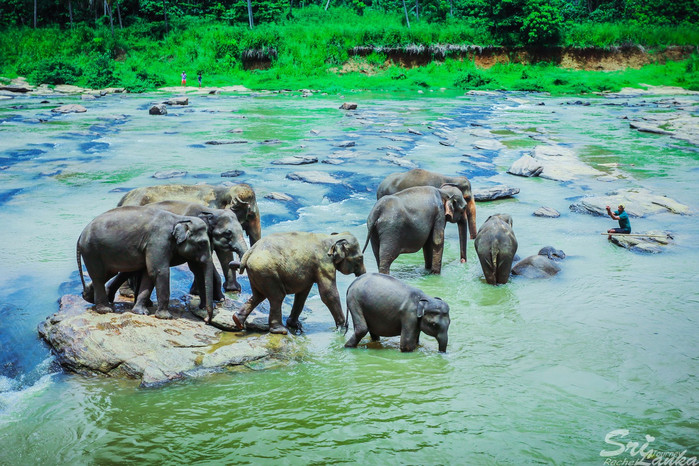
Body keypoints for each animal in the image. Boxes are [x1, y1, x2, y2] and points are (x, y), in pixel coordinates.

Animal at [75, 206, 215, 322]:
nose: (206, 319)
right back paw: (105, 309)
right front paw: (166, 317)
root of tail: (81, 235)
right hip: (92, 251)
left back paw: (88, 296)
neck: (179, 218)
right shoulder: (158, 241)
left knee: (106, 274)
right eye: (202, 243)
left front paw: (141, 312)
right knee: (99, 276)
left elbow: (149, 274)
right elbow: (159, 271)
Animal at [234, 233, 370, 334]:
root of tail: (249, 252)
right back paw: (280, 330)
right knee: (277, 297)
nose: (346, 324)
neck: (331, 238)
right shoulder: (324, 263)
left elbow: (303, 293)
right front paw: (342, 328)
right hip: (266, 271)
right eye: (360, 258)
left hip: (257, 273)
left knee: (258, 296)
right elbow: (328, 294)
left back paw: (237, 320)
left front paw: (294, 325)